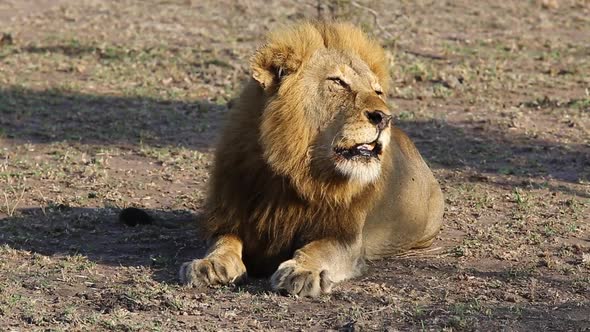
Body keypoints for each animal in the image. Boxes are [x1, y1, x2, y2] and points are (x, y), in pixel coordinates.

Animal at [179, 20, 444, 296]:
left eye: (377, 91)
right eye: (338, 82)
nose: (384, 118)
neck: (293, 171)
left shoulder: (345, 238)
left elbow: (318, 249)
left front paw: (302, 271)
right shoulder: (231, 217)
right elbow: (223, 241)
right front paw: (209, 264)